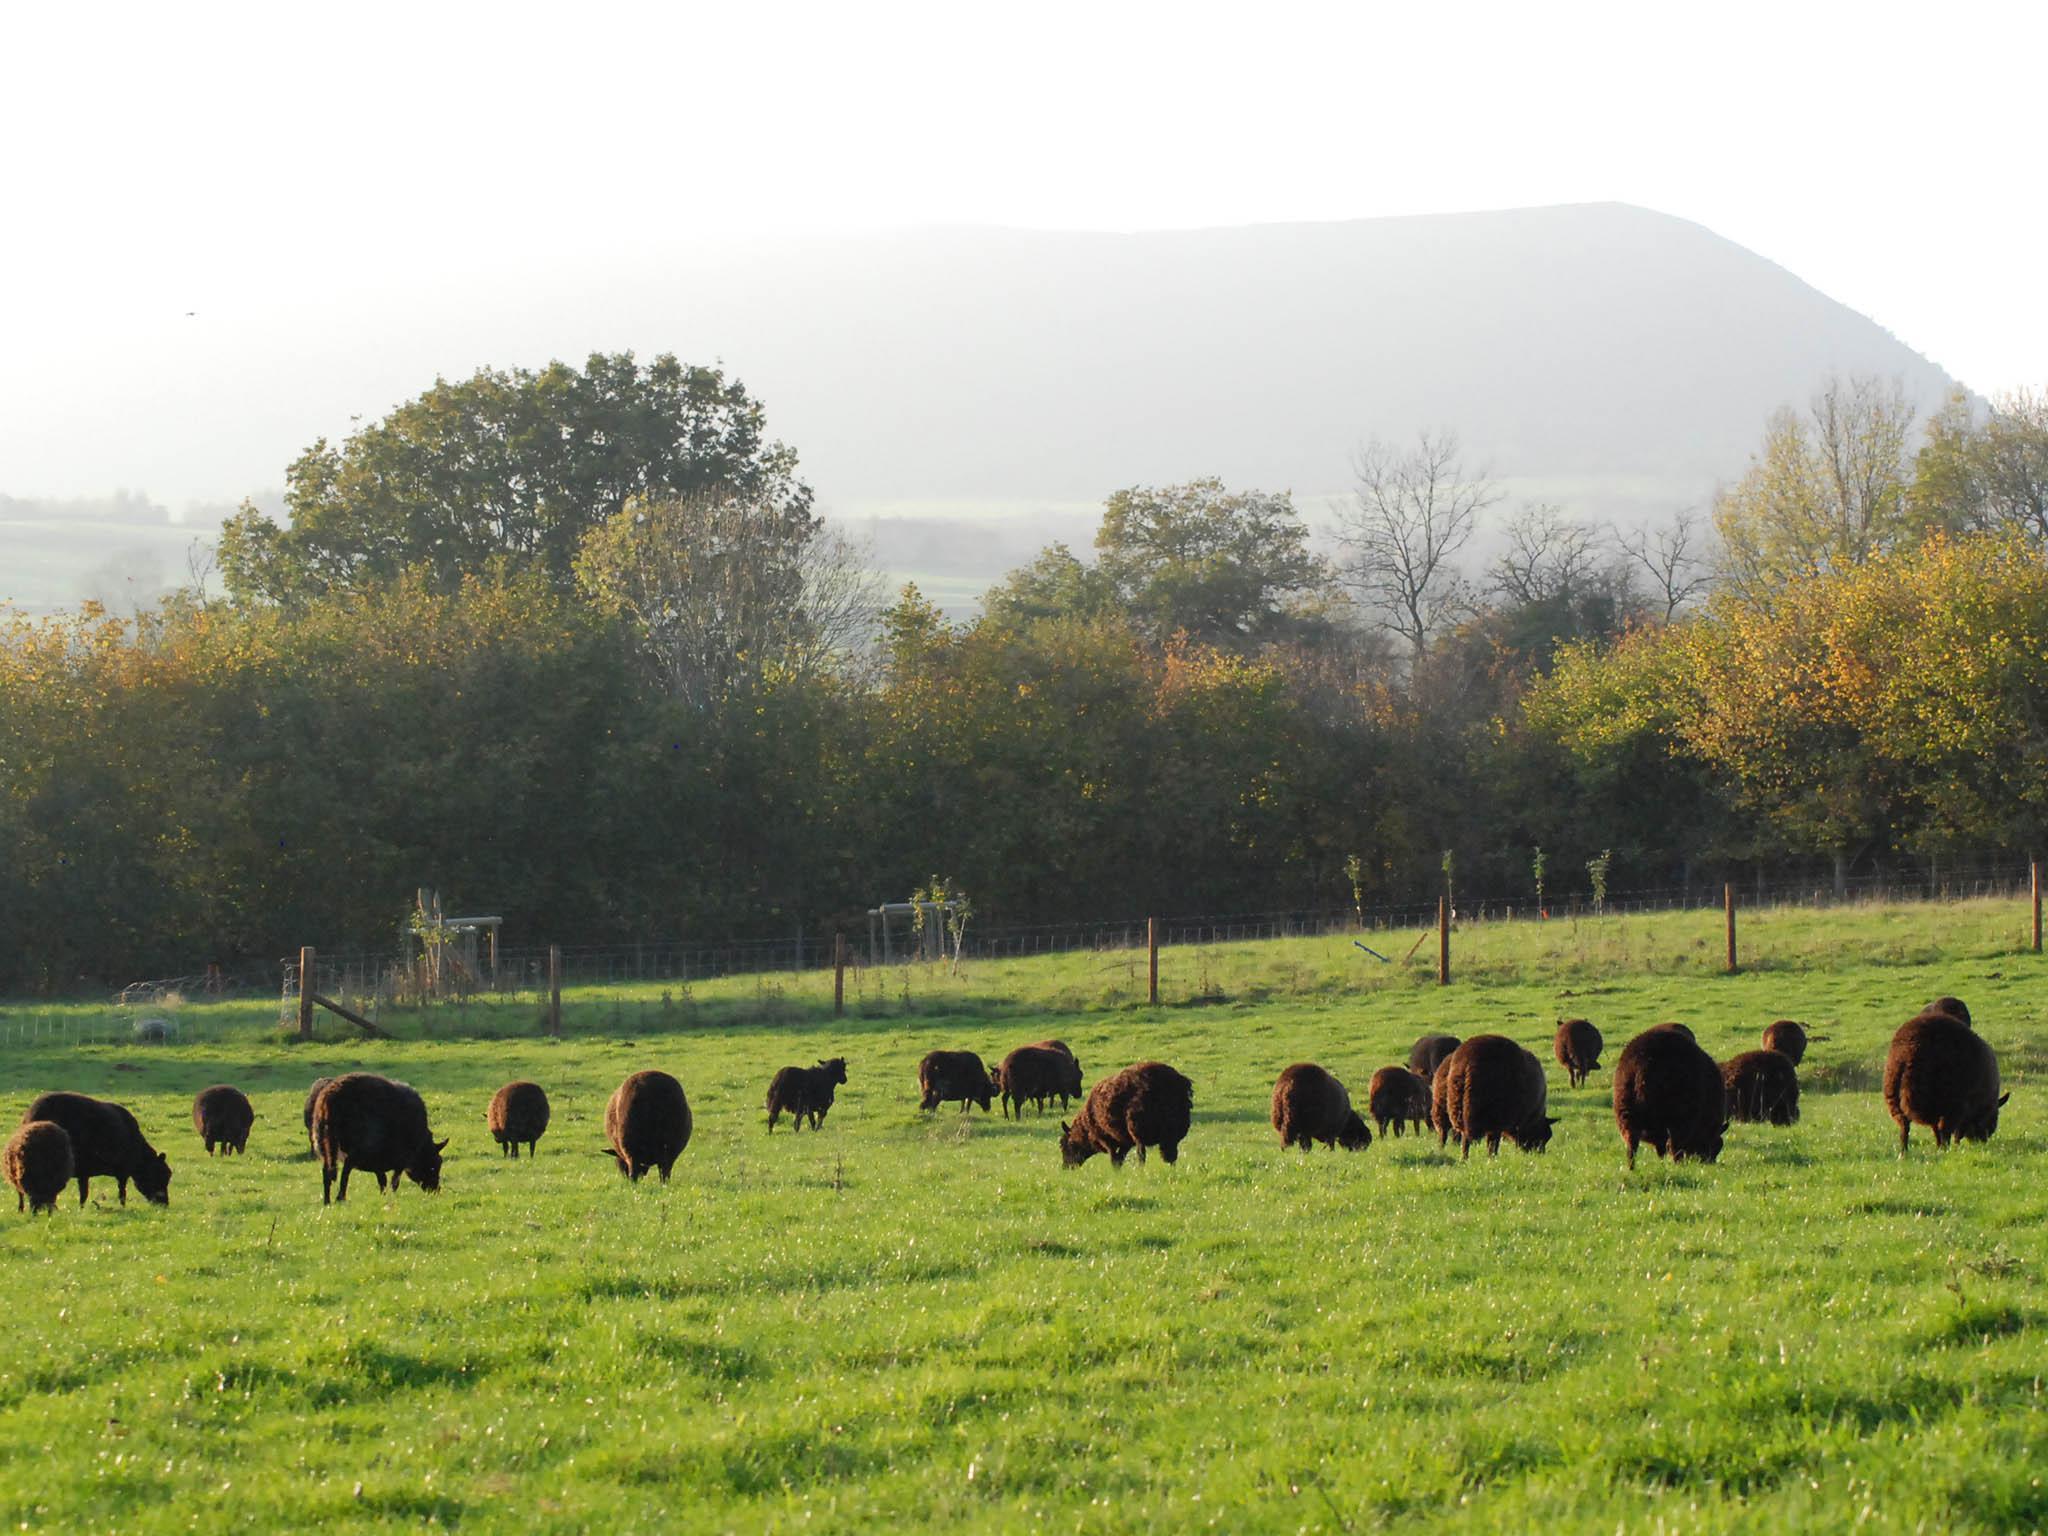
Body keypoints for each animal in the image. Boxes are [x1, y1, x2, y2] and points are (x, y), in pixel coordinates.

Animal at [22, 1089, 172, 1212]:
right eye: (159, 1174)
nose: (164, 1204)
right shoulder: (121, 1171)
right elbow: (121, 1193)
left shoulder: (85, 1172)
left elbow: (85, 1193)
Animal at [307, 1073, 444, 1212]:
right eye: (435, 1164)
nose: (436, 1191)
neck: (421, 1145)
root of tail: (330, 1096)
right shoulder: (401, 1159)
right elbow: (394, 1181)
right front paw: (391, 1197)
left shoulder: (378, 1160)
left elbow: (382, 1180)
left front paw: (383, 1196)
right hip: (356, 1148)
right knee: (345, 1171)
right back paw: (340, 1198)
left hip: (322, 1143)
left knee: (327, 1172)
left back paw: (327, 1202)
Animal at [1064, 1064, 1196, 1171]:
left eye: (1067, 1145)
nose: (1066, 1167)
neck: (1086, 1129)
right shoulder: (1125, 1140)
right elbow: (1120, 1158)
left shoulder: (1106, 1139)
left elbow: (1114, 1158)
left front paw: (1115, 1173)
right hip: (1171, 1130)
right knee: (1171, 1156)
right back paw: (1172, 1171)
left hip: (1139, 1127)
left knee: (1142, 1155)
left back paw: (1141, 1171)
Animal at [1613, 1028, 1728, 1171]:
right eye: (1717, 1145)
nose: (1709, 1163)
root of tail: (1639, 1066)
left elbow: (1661, 1149)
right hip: (1676, 1119)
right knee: (1674, 1146)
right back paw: (1679, 1166)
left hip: (1626, 1115)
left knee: (1631, 1146)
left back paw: (1632, 1169)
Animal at [1875, 1011, 2007, 1155]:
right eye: (1992, 1118)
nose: (1981, 1142)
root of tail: (1905, 1054)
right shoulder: (1961, 1107)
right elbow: (1954, 1131)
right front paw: (1952, 1146)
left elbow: (1936, 1129)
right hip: (1947, 1101)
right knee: (1944, 1129)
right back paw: (1945, 1149)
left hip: (1893, 1096)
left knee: (1904, 1126)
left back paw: (1904, 1152)